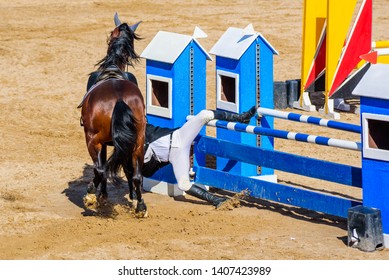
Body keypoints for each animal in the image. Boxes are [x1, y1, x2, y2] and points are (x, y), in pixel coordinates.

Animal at [79, 14, 147, 217]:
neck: (112, 67)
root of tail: (119, 98)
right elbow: (128, 169)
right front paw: (132, 198)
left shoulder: (100, 142)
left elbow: (101, 168)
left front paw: (99, 194)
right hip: (138, 140)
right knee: (136, 174)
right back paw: (141, 206)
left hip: (93, 139)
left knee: (101, 169)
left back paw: (90, 195)